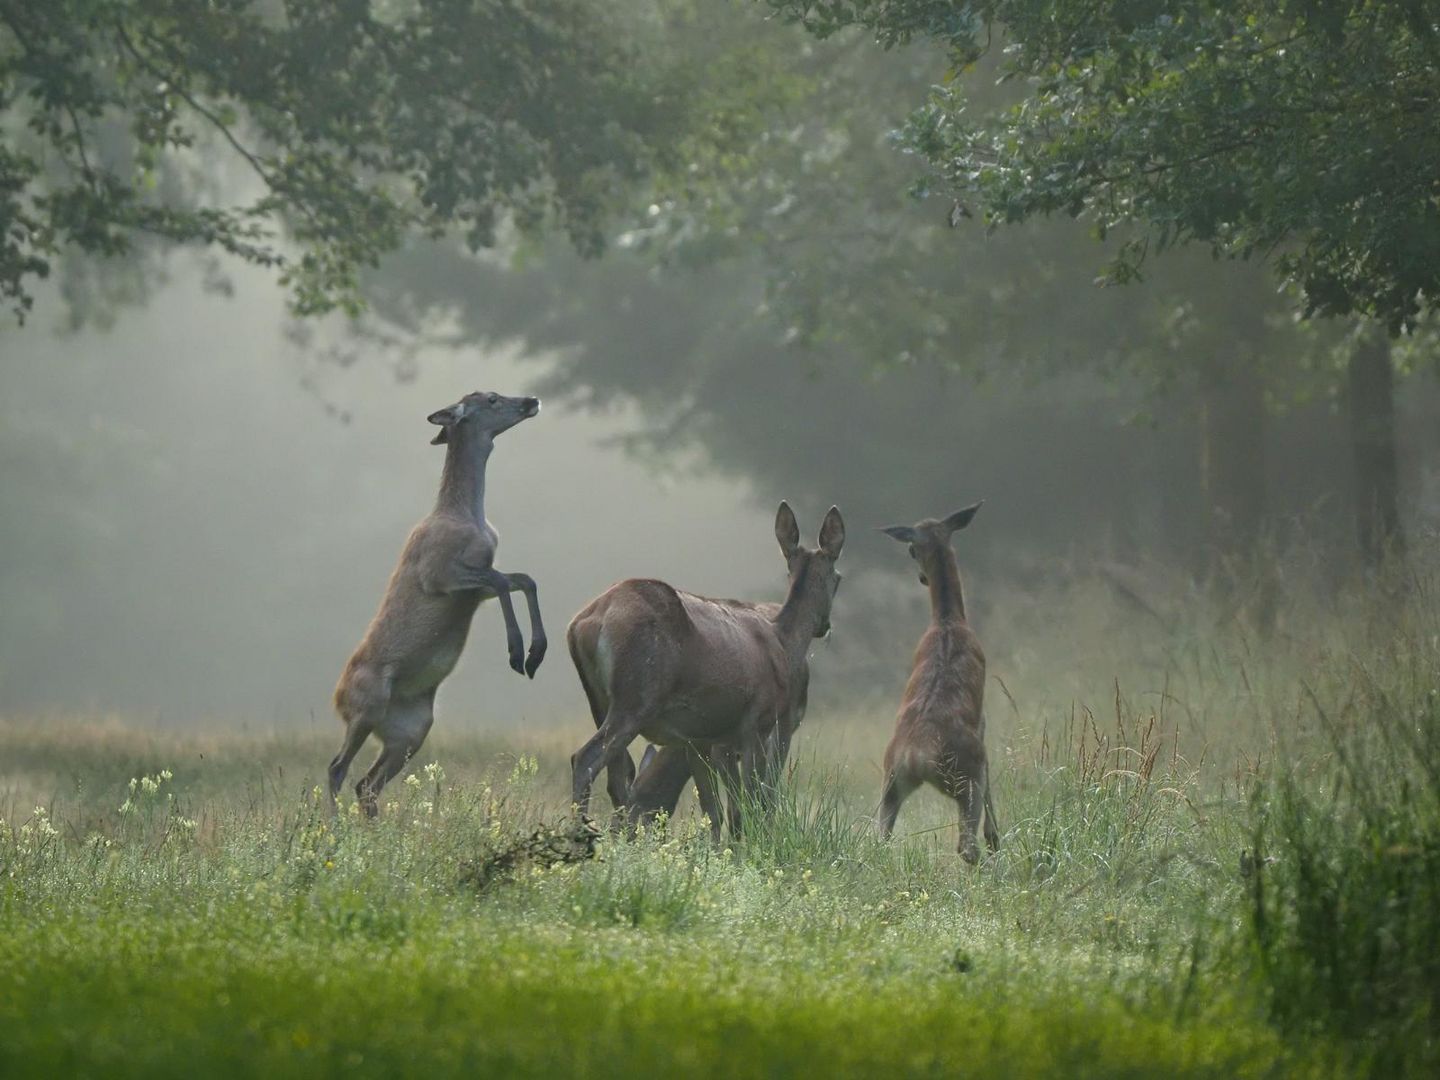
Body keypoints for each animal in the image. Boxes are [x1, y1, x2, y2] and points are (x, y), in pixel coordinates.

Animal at [329, 394, 541, 817]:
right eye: (491, 398)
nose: (531, 400)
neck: (466, 516)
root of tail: (336, 700)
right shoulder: (438, 574)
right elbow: (502, 580)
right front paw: (515, 652)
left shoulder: (477, 588)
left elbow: (523, 580)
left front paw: (534, 654)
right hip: (366, 705)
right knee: (337, 768)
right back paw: (328, 824)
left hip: (411, 730)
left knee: (366, 784)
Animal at [567, 504, 846, 840]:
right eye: (838, 577)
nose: (825, 626)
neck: (783, 642)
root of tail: (586, 622)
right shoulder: (759, 723)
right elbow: (751, 805)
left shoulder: (698, 740)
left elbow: (715, 812)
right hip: (636, 696)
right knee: (585, 759)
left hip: (598, 699)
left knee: (618, 776)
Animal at [875, 504, 1002, 869]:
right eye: (910, 549)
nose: (922, 577)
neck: (948, 621)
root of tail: (916, 757)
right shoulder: (982, 720)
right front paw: (995, 837)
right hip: (966, 776)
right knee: (966, 845)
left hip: (891, 782)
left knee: (878, 838)